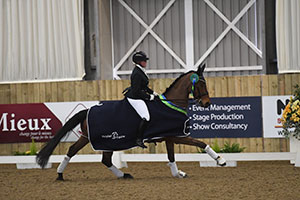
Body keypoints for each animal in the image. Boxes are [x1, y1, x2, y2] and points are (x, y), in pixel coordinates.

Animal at [36, 64, 226, 180]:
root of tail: (88, 110)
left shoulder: (169, 137)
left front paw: (177, 173)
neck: (172, 105)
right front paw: (220, 160)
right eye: (201, 84)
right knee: (93, 156)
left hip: (91, 138)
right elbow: (201, 143)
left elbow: (171, 156)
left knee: (87, 155)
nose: (206, 103)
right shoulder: (177, 136)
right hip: (104, 140)